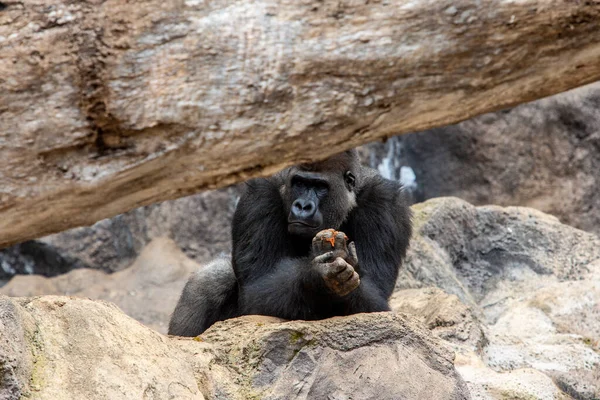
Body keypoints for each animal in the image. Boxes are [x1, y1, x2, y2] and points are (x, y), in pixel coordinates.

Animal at [169, 148, 412, 336]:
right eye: (299, 183)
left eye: (320, 186)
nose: (302, 206)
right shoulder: (259, 194)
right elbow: (256, 291)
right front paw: (317, 276)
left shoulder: (385, 203)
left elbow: (375, 298)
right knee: (211, 278)